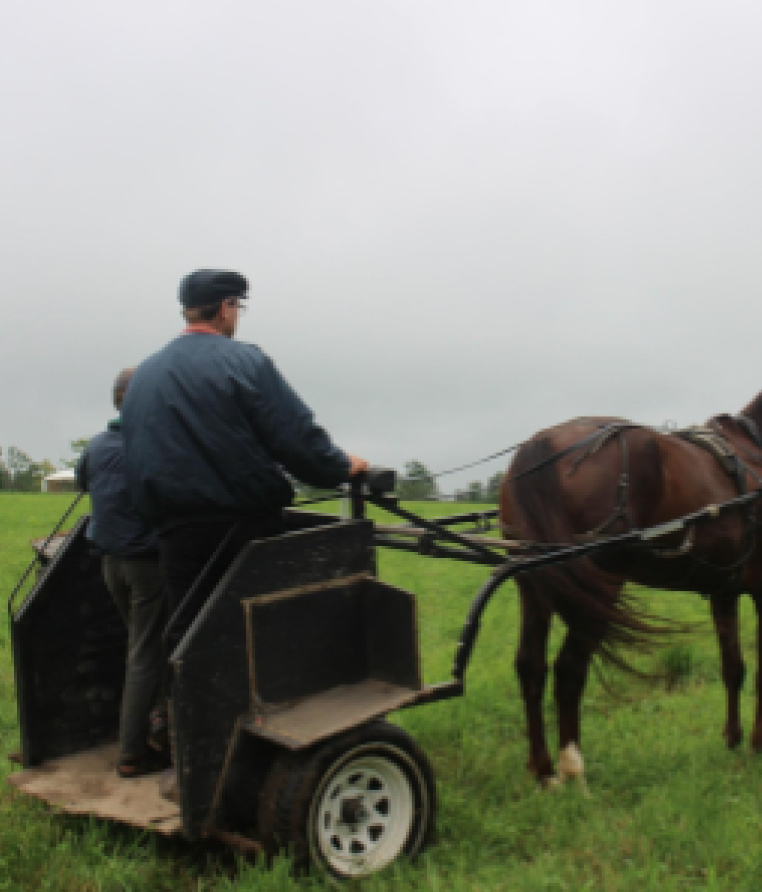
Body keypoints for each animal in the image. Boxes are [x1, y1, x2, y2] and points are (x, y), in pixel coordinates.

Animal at [496, 390, 762, 788]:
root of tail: (542, 444)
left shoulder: (723, 591)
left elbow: (734, 668)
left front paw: (733, 739)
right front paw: (757, 744)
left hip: (535, 586)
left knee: (531, 666)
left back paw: (542, 770)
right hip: (597, 588)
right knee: (569, 670)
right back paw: (573, 769)